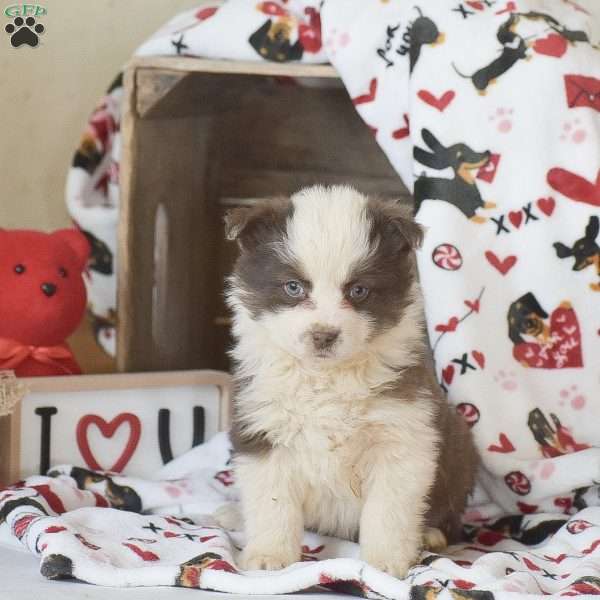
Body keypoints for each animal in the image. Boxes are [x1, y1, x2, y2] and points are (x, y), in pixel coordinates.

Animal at [224, 186, 478, 576]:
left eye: (358, 291)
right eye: (293, 287)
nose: (324, 336)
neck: (326, 377)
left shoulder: (402, 437)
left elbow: (388, 508)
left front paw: (385, 561)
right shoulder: (262, 426)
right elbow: (272, 502)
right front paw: (268, 556)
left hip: (460, 446)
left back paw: (431, 533)